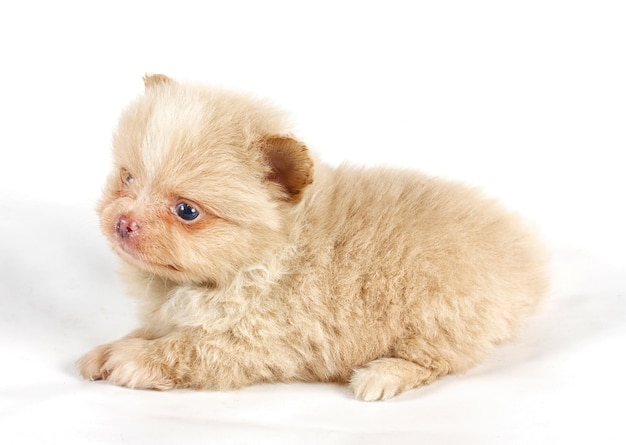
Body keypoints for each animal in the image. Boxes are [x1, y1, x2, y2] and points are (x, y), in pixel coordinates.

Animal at [78, 73, 544, 398]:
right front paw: (108, 349)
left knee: (439, 360)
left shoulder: (261, 340)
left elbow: (190, 349)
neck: (270, 257)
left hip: (438, 317)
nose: (123, 222)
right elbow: (150, 330)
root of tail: (526, 265)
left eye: (187, 211)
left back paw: (382, 375)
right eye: (127, 178)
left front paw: (134, 359)